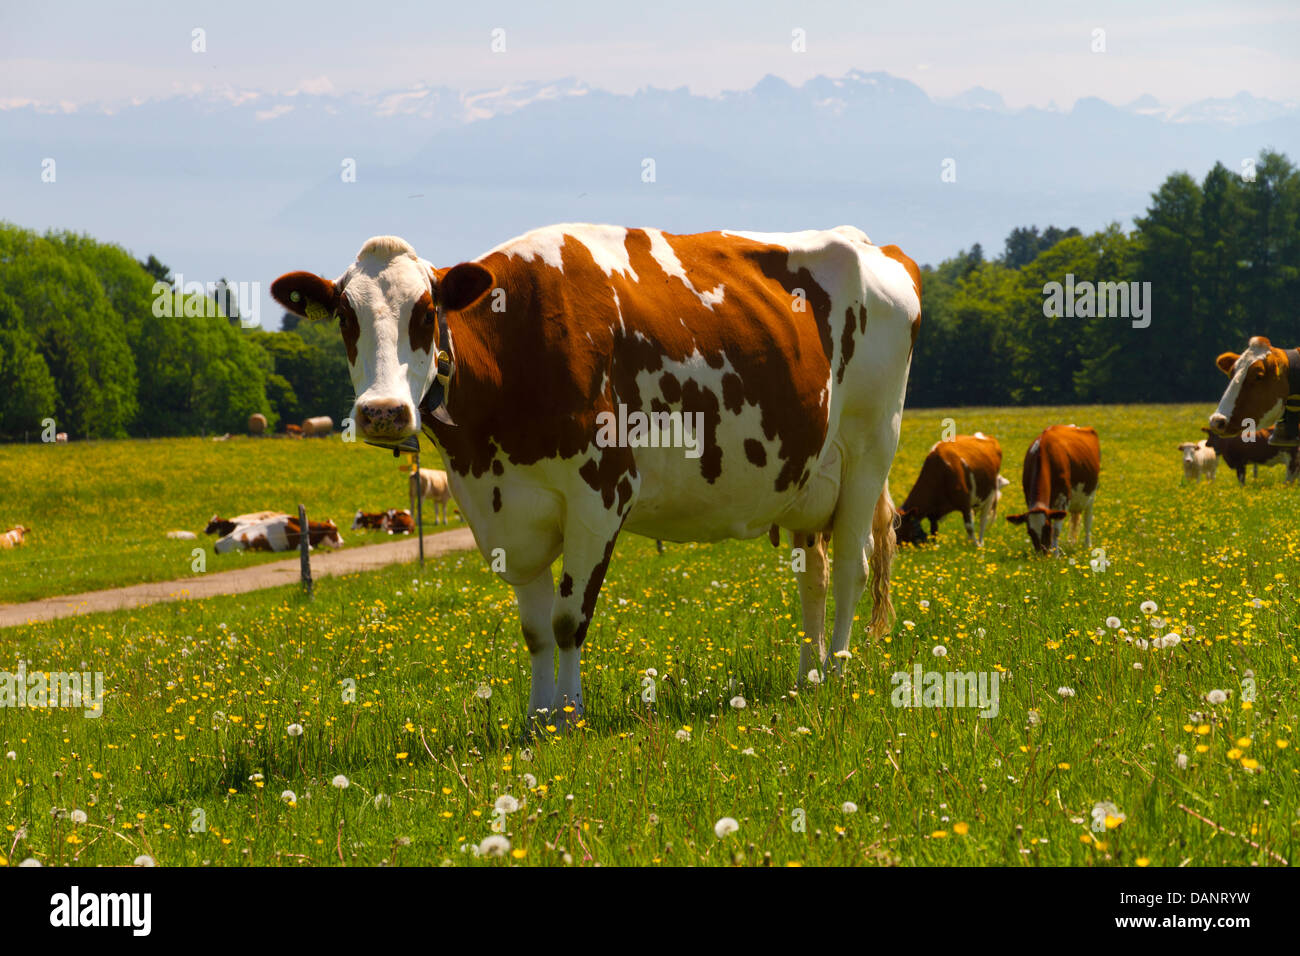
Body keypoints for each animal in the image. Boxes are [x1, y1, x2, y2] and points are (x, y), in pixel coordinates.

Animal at [272, 224, 921, 724]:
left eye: (427, 312)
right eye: (345, 317)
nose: (382, 411)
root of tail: (874, 245)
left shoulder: (599, 494)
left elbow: (567, 621)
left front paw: (570, 716)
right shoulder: (502, 509)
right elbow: (535, 629)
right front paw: (536, 718)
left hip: (870, 449)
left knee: (851, 567)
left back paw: (837, 675)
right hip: (808, 478)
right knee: (814, 576)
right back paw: (806, 677)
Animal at [1005, 425, 1100, 554]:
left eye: (1047, 528)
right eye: (1029, 532)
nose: (1042, 555)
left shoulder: (1063, 499)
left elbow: (1056, 530)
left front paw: (1055, 554)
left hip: (1091, 496)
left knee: (1087, 521)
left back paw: (1087, 545)